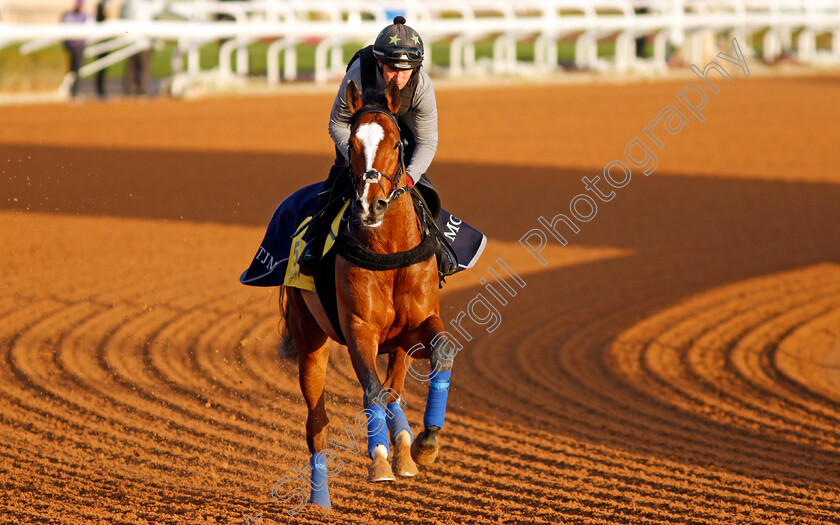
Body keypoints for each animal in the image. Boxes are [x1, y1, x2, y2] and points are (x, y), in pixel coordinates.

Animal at [278, 81, 456, 508]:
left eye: (396, 142)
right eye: (353, 143)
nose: (370, 205)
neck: (389, 250)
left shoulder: (416, 327)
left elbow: (440, 352)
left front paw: (425, 443)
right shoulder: (360, 329)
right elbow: (372, 390)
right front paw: (378, 462)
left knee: (394, 391)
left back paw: (405, 450)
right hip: (310, 338)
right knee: (317, 424)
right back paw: (320, 500)